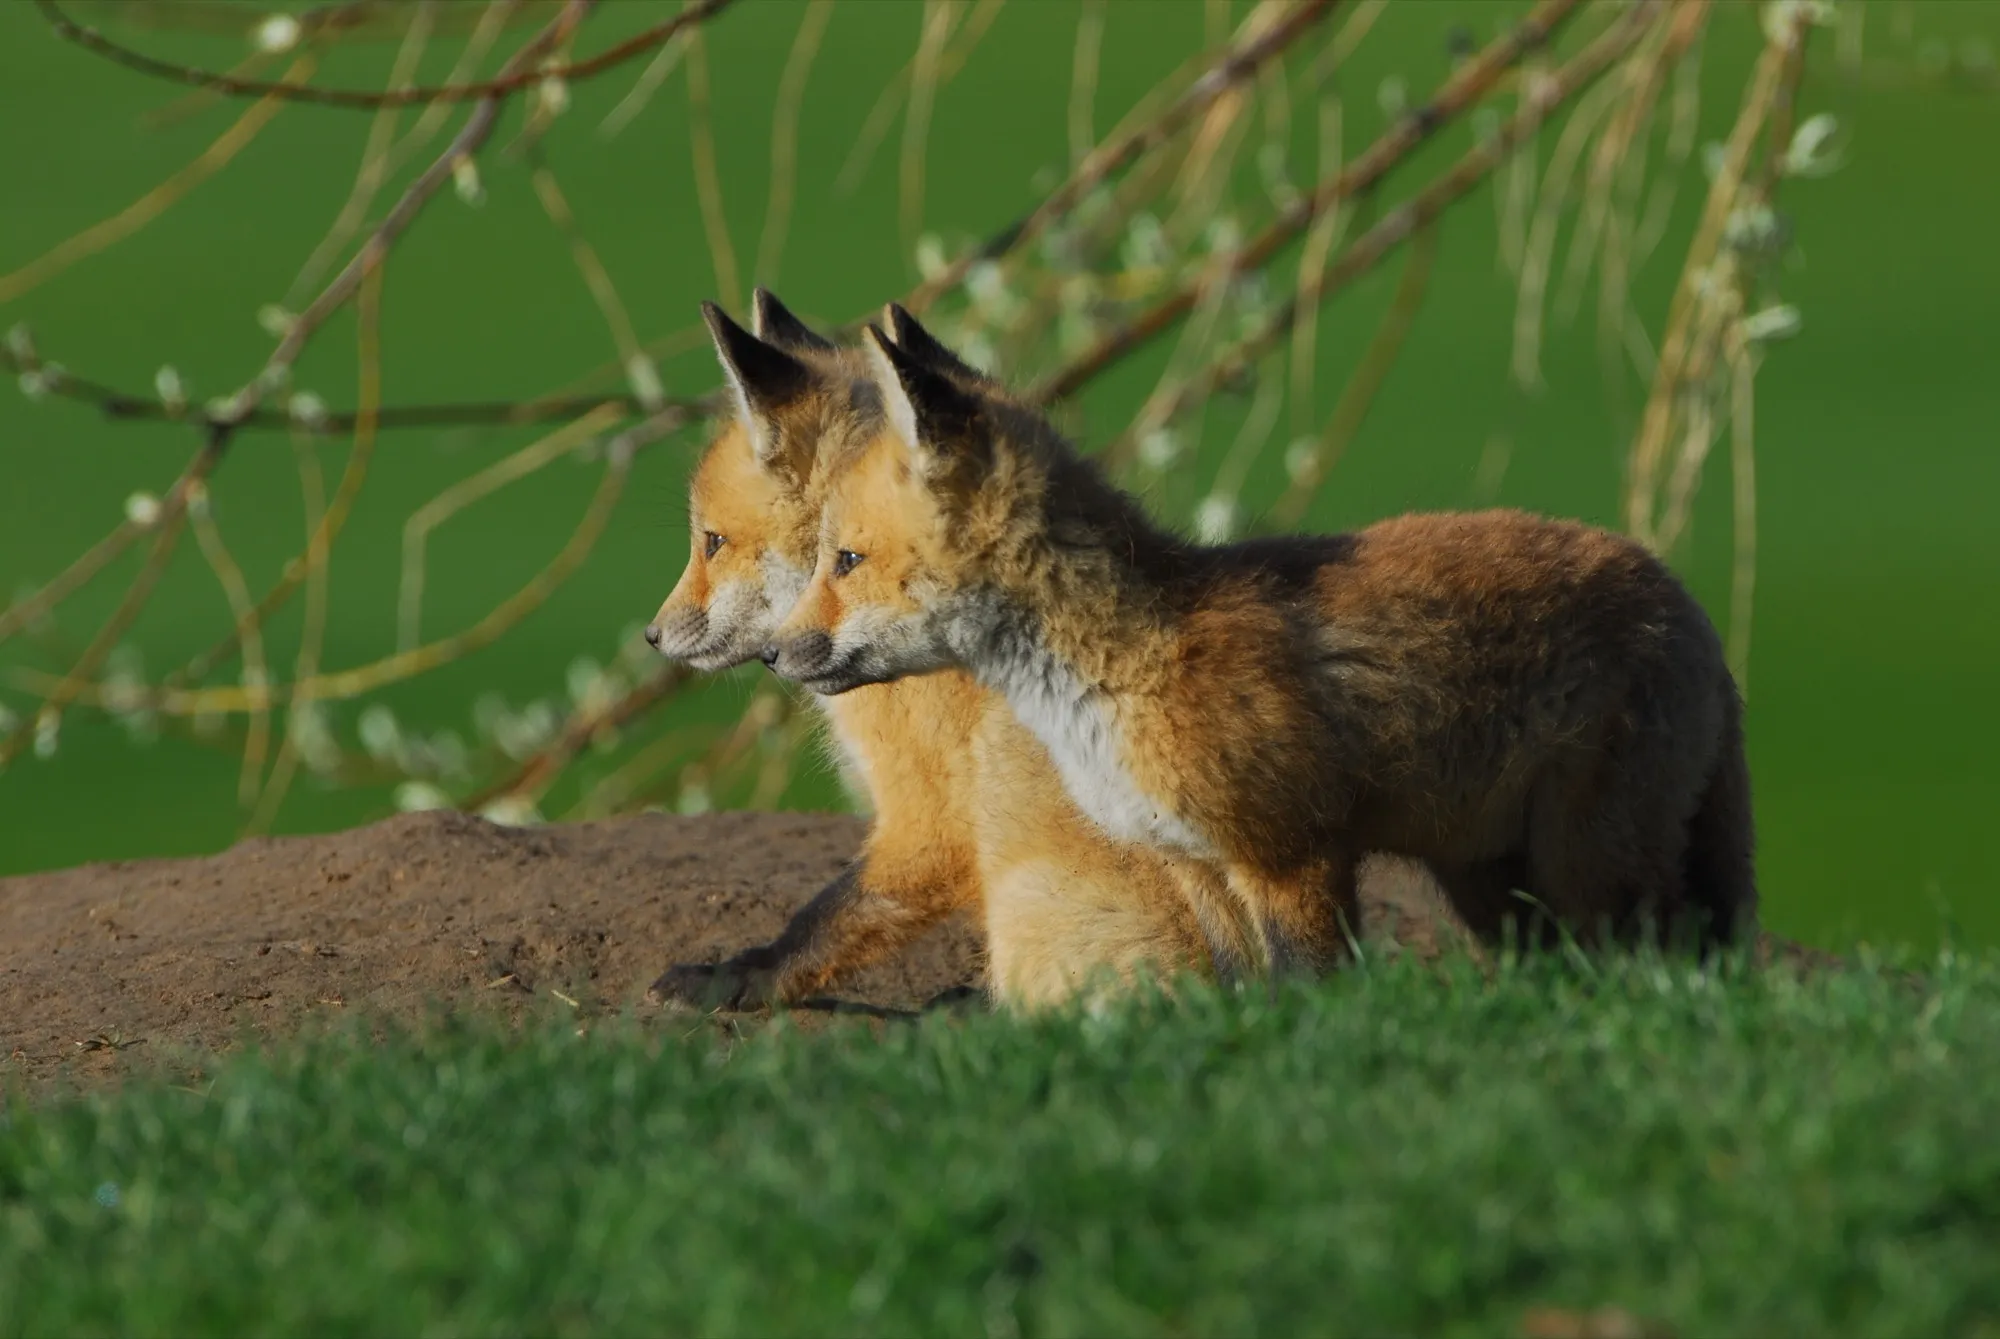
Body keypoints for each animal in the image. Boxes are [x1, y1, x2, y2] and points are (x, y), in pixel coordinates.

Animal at [764, 307, 1757, 976]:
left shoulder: (1291, 856)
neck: (1120, 669)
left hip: (1591, 866)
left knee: (1671, 962)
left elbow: (1309, 991)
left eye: (846, 559)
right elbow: (1246, 993)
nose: (774, 652)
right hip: (1493, 881)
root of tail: (1680, 593)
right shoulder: (1196, 861)